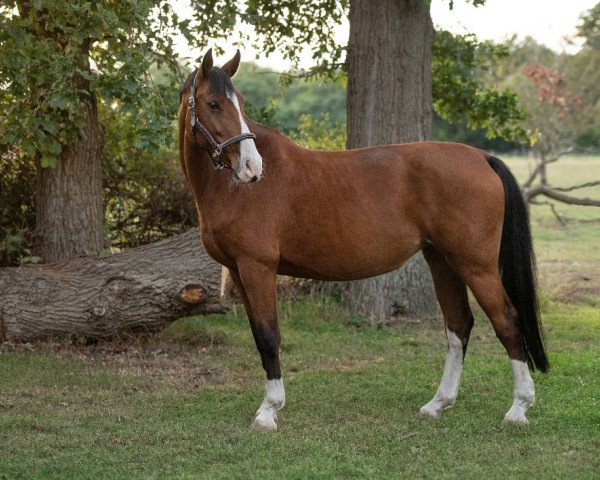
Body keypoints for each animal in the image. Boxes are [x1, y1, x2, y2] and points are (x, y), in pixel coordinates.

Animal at [177, 49, 548, 432]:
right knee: (458, 325)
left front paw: (269, 411)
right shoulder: (238, 271)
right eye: (213, 103)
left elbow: (269, 336)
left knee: (507, 321)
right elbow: (258, 334)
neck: (234, 190)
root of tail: (482, 157)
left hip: (476, 266)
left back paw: (519, 408)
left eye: (241, 103)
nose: (252, 167)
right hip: (442, 261)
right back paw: (438, 403)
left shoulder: (258, 267)